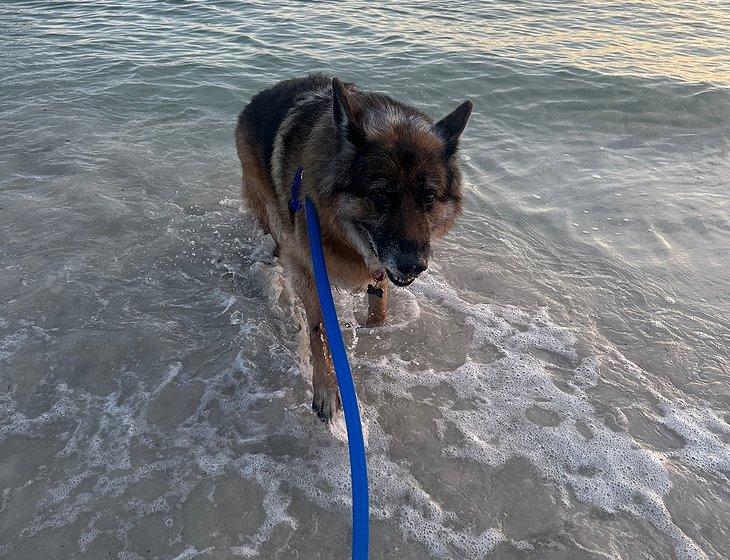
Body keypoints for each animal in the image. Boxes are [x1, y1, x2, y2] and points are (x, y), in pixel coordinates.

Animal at [235, 75, 472, 424]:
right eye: (382, 196)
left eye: (428, 197)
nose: (414, 266)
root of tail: (265, 94)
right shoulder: (308, 269)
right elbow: (320, 331)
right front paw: (326, 388)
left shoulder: (380, 271)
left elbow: (379, 310)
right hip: (268, 211)